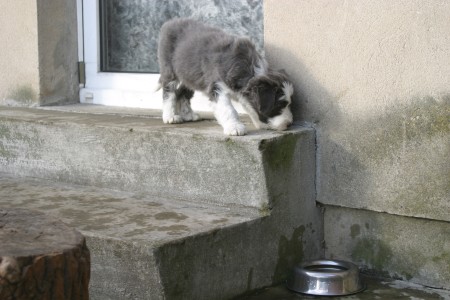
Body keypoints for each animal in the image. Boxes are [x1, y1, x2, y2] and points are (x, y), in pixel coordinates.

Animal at [156, 18, 294, 136]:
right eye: (279, 105)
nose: (289, 124)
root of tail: (169, 22)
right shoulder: (217, 87)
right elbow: (228, 109)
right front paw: (235, 127)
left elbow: (249, 106)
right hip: (170, 70)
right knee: (169, 93)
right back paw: (170, 116)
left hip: (189, 75)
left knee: (183, 93)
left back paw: (189, 115)